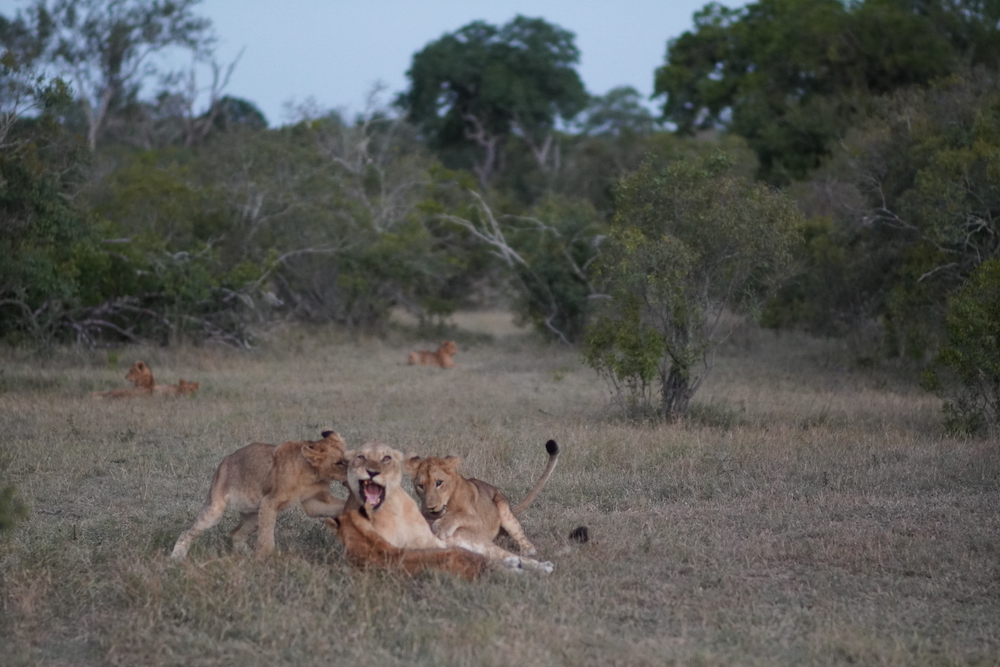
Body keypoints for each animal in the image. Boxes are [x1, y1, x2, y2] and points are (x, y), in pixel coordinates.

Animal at [175, 430, 352, 560]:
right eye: (338, 463)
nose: (352, 472)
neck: (313, 474)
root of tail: (224, 460)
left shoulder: (314, 502)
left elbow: (338, 505)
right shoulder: (270, 502)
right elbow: (267, 538)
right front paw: (264, 559)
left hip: (254, 516)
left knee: (236, 535)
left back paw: (245, 555)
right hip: (215, 508)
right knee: (186, 532)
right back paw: (177, 557)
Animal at [408, 440, 564, 568]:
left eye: (439, 483)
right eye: (420, 486)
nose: (431, 507)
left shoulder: (478, 522)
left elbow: (459, 515)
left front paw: (442, 527)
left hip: (503, 509)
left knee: (519, 534)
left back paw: (528, 550)